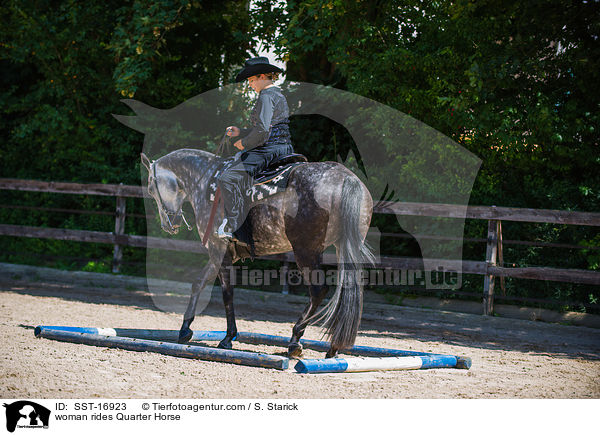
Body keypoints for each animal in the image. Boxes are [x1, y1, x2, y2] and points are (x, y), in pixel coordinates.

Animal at [142, 148, 372, 360]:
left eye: (151, 188)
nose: (169, 225)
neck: (206, 180)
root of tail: (347, 178)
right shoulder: (224, 254)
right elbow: (199, 283)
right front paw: (186, 329)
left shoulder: (219, 250)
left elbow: (226, 292)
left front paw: (226, 338)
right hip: (343, 247)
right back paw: (333, 348)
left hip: (305, 251)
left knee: (318, 290)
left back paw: (295, 341)